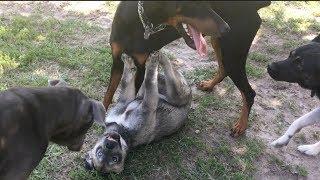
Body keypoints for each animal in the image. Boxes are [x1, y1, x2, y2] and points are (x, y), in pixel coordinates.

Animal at [102, 1, 270, 137]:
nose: (226, 28)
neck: (138, 20)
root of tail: (255, 6)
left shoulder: (141, 67)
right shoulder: (117, 62)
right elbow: (108, 95)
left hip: (232, 54)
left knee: (249, 92)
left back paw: (241, 126)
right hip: (219, 43)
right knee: (223, 70)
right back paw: (209, 85)